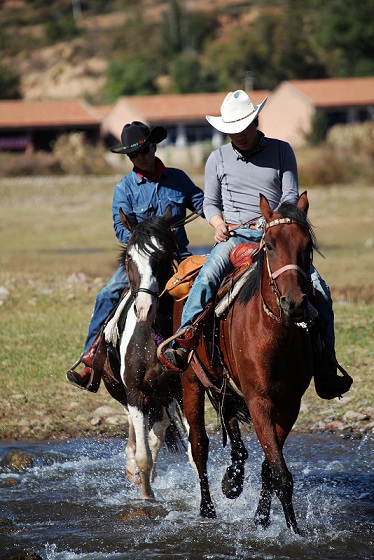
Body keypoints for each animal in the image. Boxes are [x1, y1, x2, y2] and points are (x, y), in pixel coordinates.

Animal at [101, 208, 185, 500]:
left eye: (163, 255)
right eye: (129, 257)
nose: (145, 308)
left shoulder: (176, 394)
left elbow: (157, 442)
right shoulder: (135, 393)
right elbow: (142, 455)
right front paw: (146, 496)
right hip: (124, 392)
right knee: (133, 435)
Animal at [177, 191, 318, 528]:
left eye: (307, 246)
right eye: (270, 245)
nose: (294, 304)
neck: (275, 335)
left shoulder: (289, 404)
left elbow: (271, 466)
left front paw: (262, 519)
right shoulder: (258, 400)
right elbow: (280, 473)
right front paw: (293, 531)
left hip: (224, 385)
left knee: (234, 438)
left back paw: (232, 481)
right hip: (191, 380)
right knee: (199, 445)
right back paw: (207, 510)